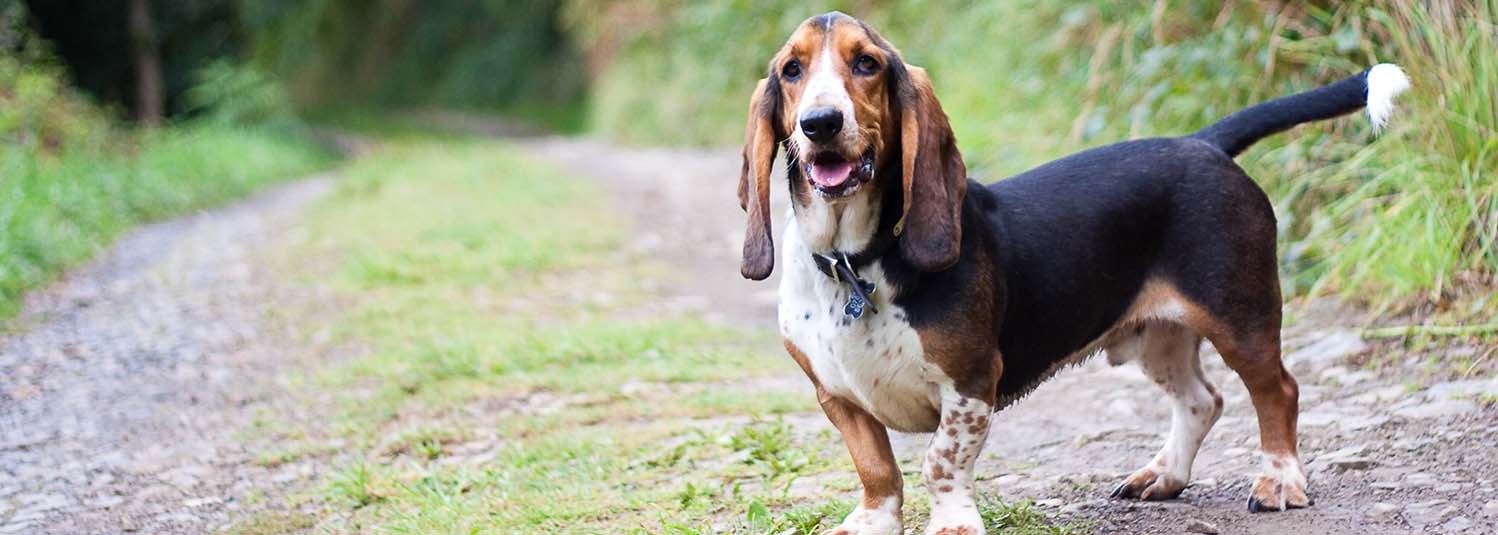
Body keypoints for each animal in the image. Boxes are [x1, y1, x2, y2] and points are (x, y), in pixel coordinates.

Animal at [743, 10, 1408, 530]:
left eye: (867, 64)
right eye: (792, 71)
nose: (821, 123)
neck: (851, 260)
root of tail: (1204, 142)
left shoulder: (971, 383)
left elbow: (940, 463)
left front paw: (954, 523)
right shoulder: (836, 394)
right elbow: (877, 468)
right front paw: (871, 522)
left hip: (1239, 317)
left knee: (1278, 392)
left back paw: (1279, 482)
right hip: (1157, 337)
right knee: (1203, 400)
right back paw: (1162, 475)